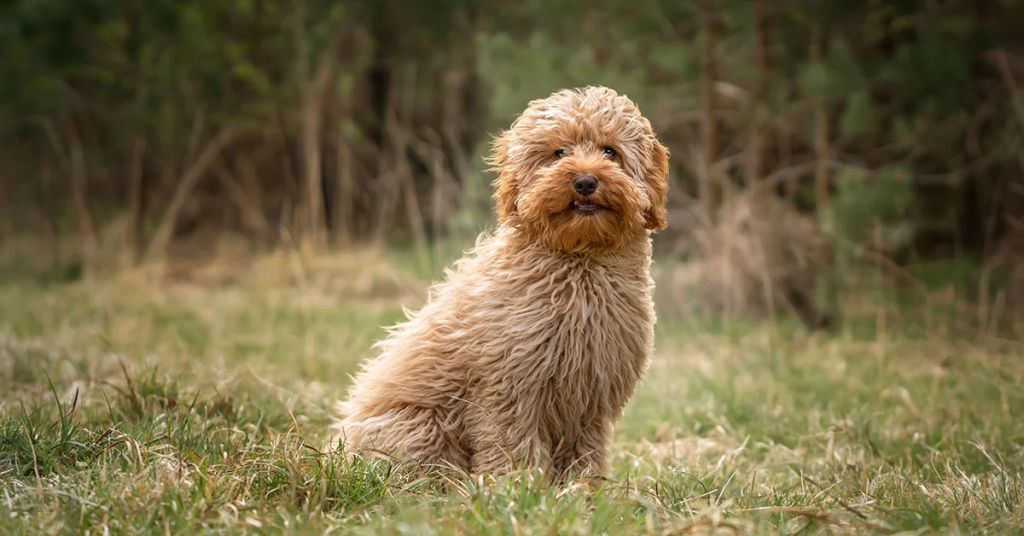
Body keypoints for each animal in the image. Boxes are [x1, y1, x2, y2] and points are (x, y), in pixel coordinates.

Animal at [331, 87, 667, 477]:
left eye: (610, 151)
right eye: (559, 153)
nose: (585, 182)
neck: (579, 264)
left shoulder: (592, 396)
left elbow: (586, 450)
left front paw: (584, 486)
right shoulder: (508, 385)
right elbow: (511, 444)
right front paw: (516, 484)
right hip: (419, 424)